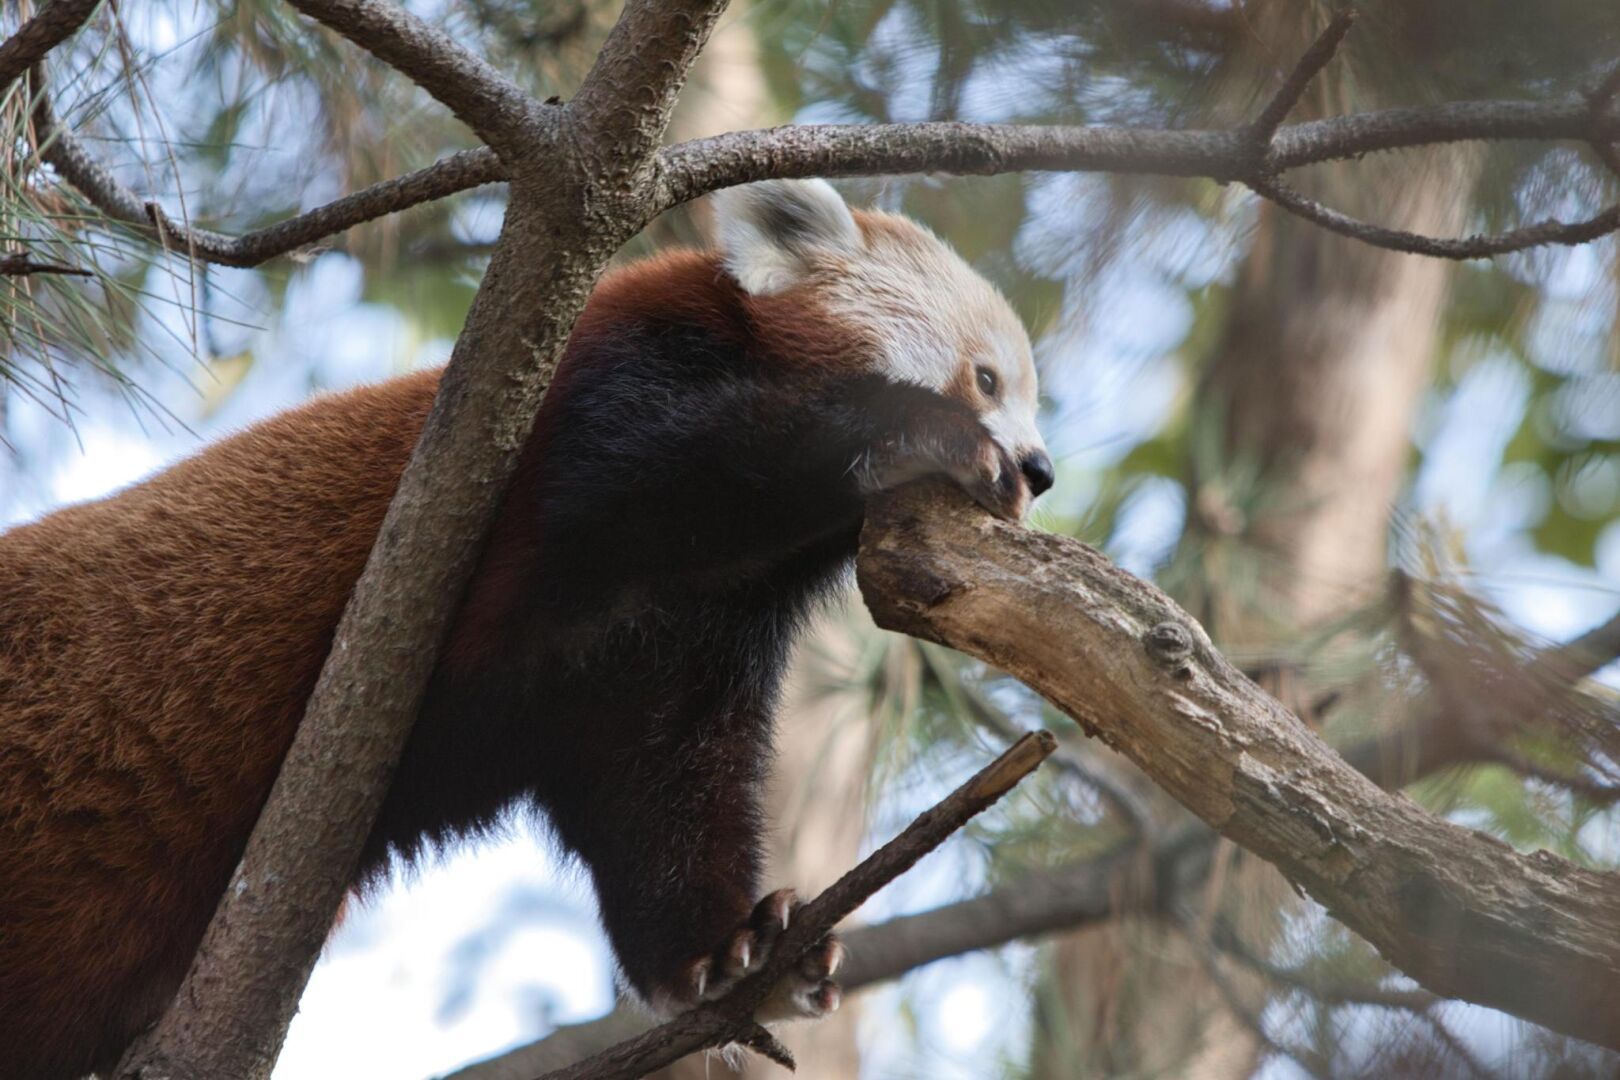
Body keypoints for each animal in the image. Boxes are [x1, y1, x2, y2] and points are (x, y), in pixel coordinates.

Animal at [0, 178, 1052, 1079]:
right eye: (987, 378)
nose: (1040, 470)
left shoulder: (668, 649)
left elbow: (660, 792)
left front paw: (743, 949)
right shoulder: (592, 407)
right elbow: (663, 470)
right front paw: (928, 439)